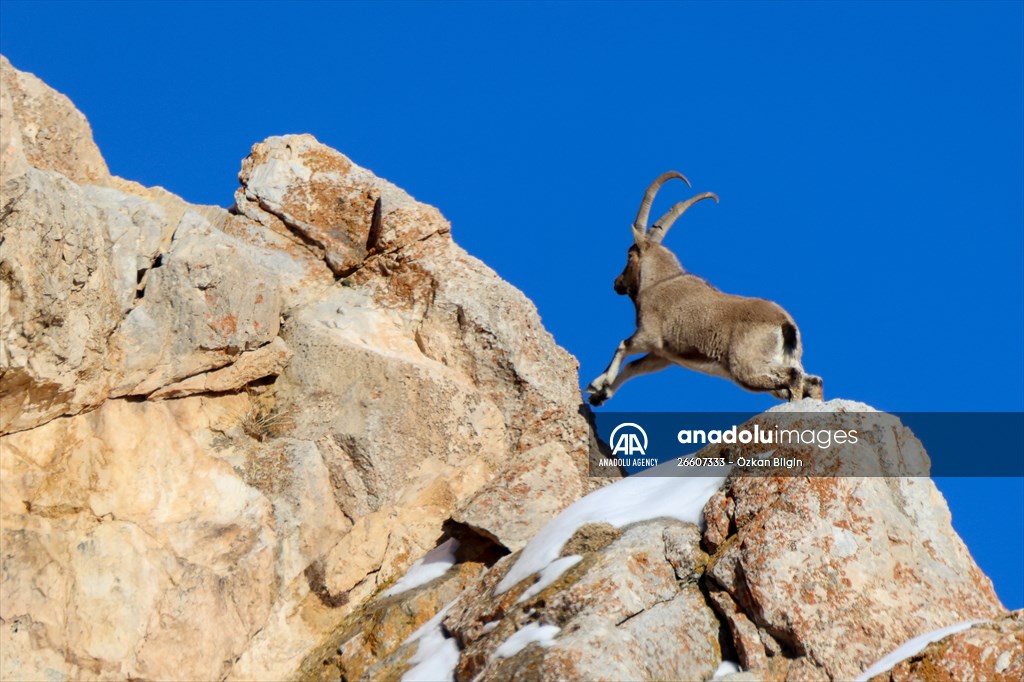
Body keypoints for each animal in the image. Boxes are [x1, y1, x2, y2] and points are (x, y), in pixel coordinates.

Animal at [585, 171, 823, 405]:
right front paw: (599, 395)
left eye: (629, 255)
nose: (617, 283)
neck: (658, 282)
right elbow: (633, 366)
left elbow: (622, 346)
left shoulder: (649, 335)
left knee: (793, 377)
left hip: (748, 365)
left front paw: (596, 386)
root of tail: (785, 324)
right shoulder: (663, 355)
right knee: (813, 382)